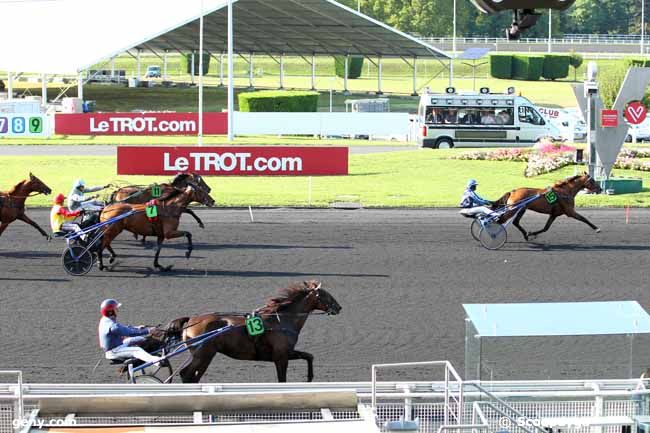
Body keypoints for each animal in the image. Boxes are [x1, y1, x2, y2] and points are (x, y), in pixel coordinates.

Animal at [175, 282, 342, 384]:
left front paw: (309, 377)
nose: (339, 307)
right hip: (204, 354)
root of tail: (191, 320)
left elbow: (309, 356)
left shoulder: (286, 353)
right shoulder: (281, 356)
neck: (282, 319)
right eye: (326, 295)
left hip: (205, 355)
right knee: (187, 374)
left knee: (190, 376)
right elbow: (282, 379)